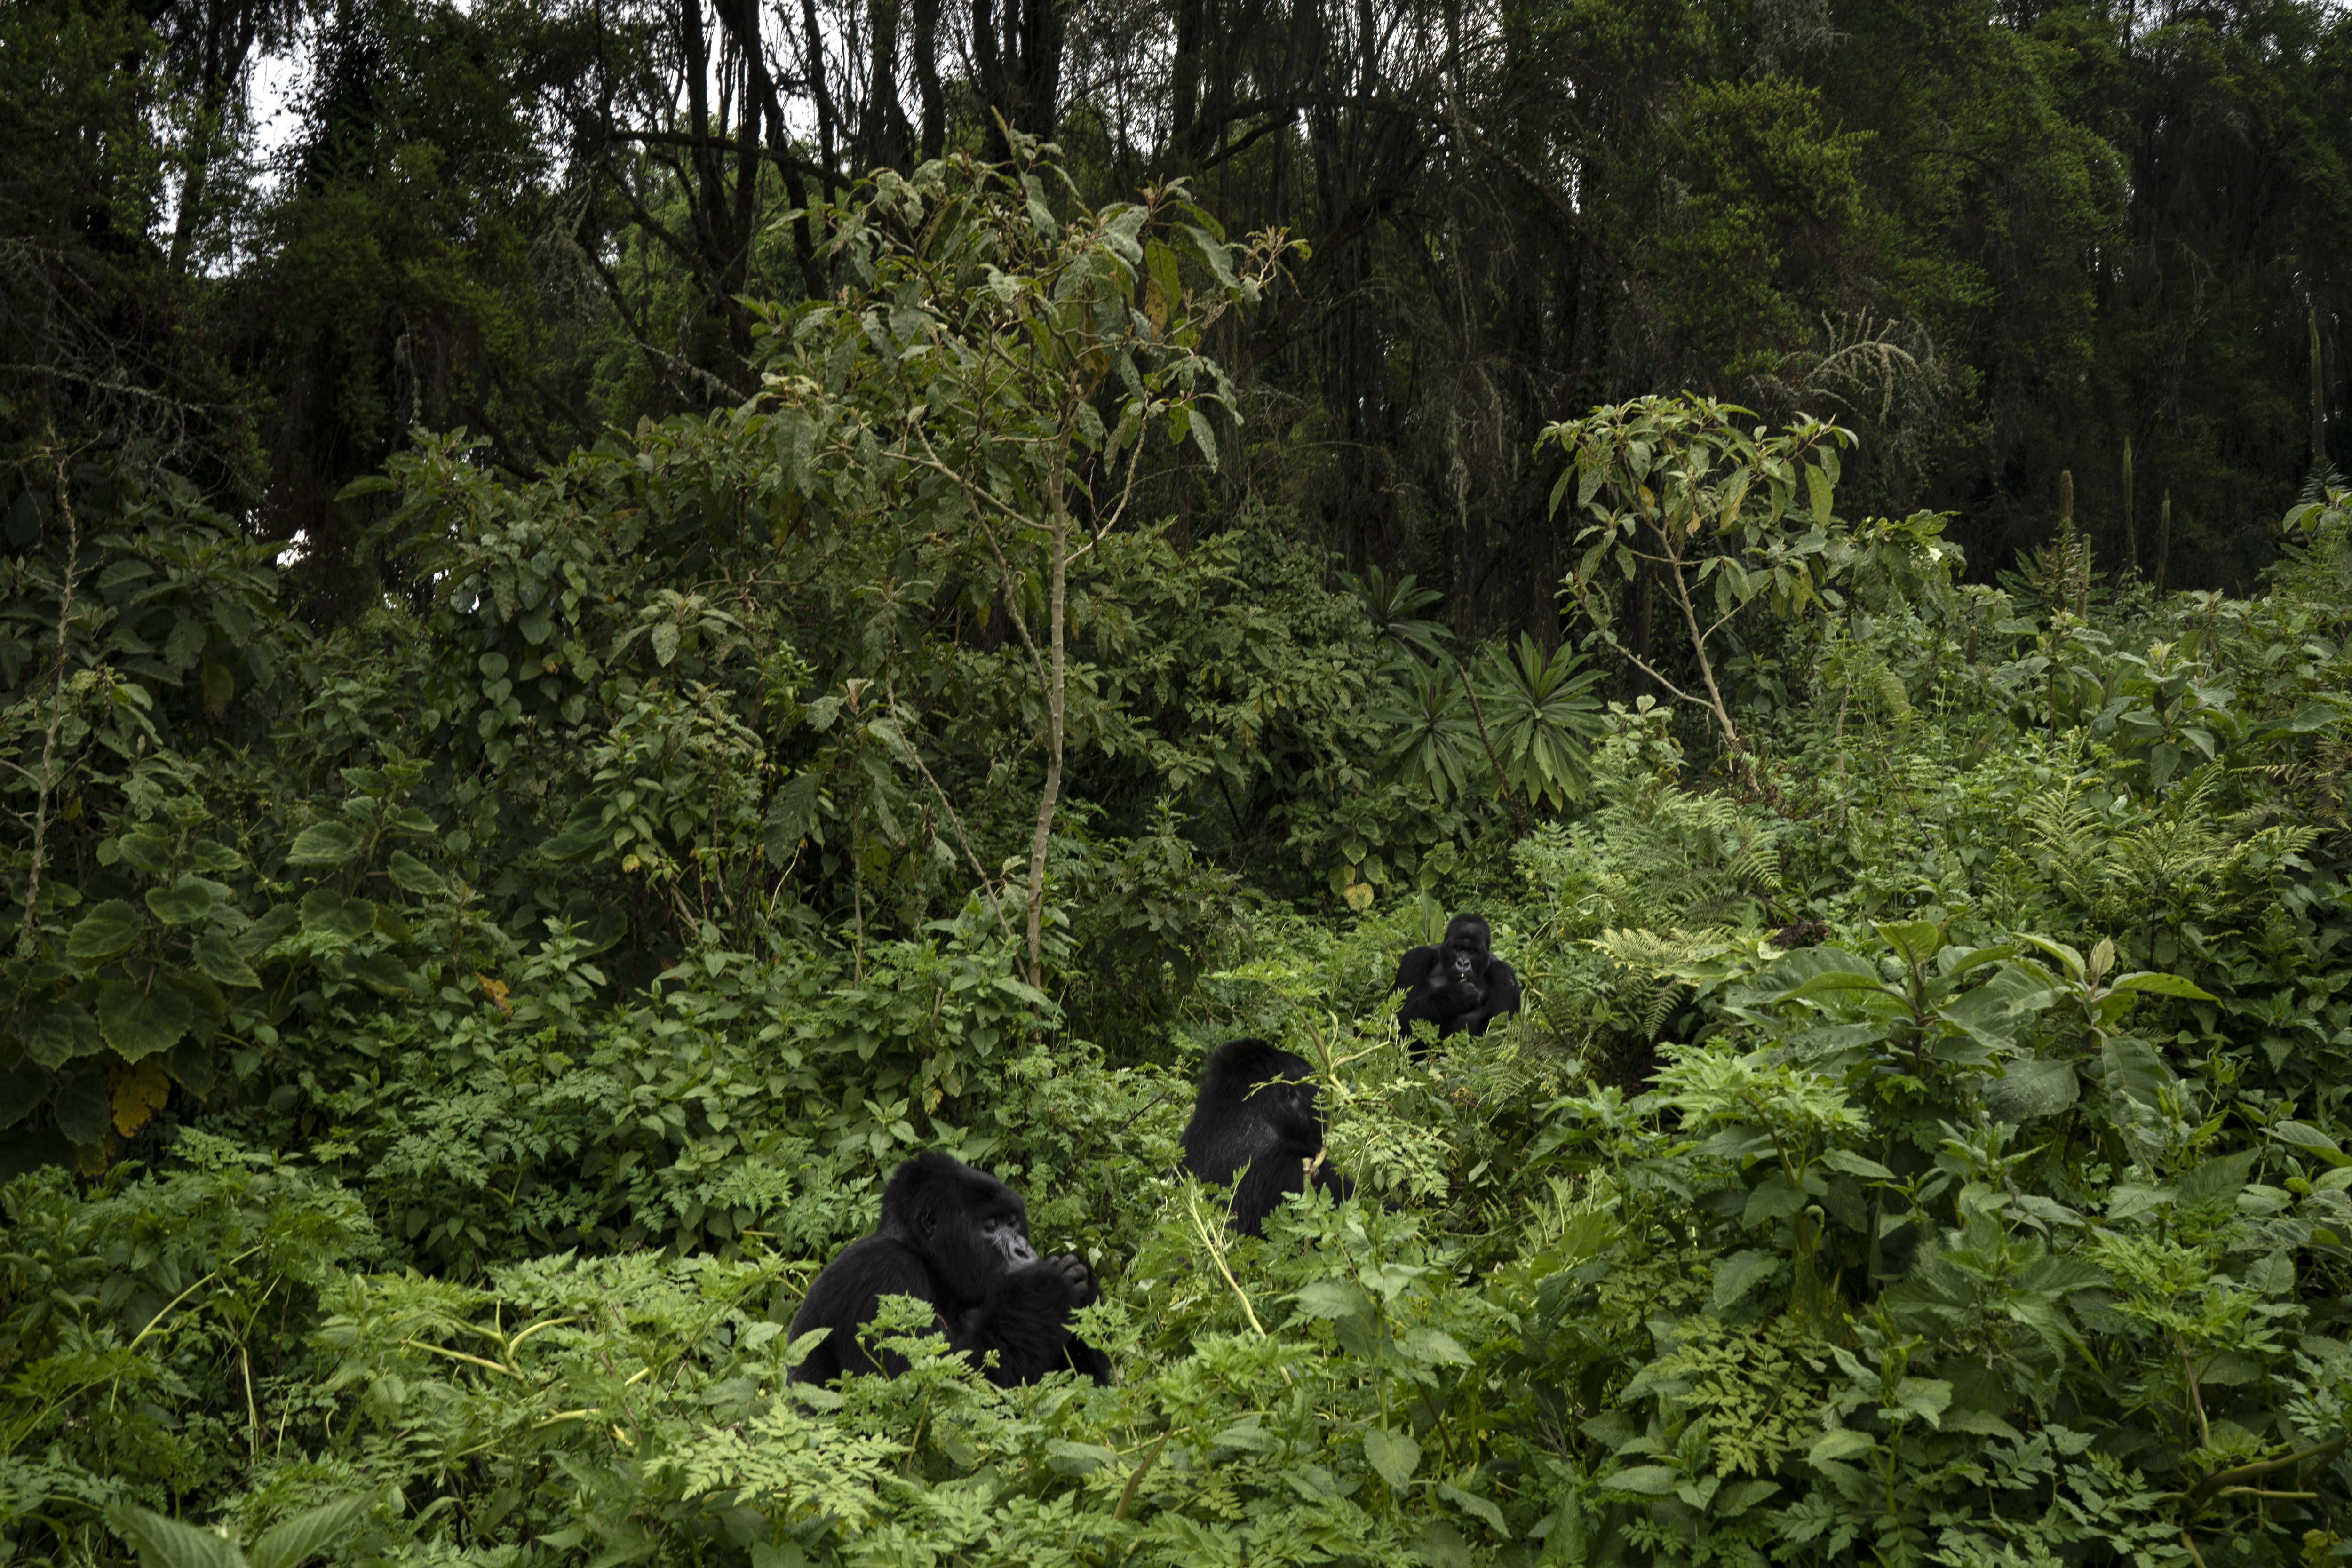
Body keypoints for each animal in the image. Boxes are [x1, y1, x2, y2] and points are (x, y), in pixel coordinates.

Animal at [790, 1152, 1110, 1382]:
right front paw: (1042, 1289)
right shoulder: (885, 1271)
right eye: (990, 1226)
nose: (1023, 1250)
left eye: (1012, 1222)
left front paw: (1079, 1283)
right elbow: (917, 1383)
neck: (926, 1261)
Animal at [1392, 912, 1524, 1048]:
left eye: (1472, 951)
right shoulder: (1416, 959)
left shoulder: (1504, 975)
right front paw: (1458, 997)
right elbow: (1400, 1017)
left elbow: (1500, 1033)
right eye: (1458, 948)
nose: (1463, 964)